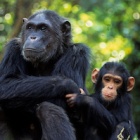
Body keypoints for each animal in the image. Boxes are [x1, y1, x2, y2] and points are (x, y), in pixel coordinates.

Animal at [0, 10, 89, 140]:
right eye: (30, 27)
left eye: (43, 28)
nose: (33, 37)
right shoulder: (13, 48)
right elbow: (5, 83)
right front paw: (68, 84)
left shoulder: (78, 53)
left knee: (48, 109)